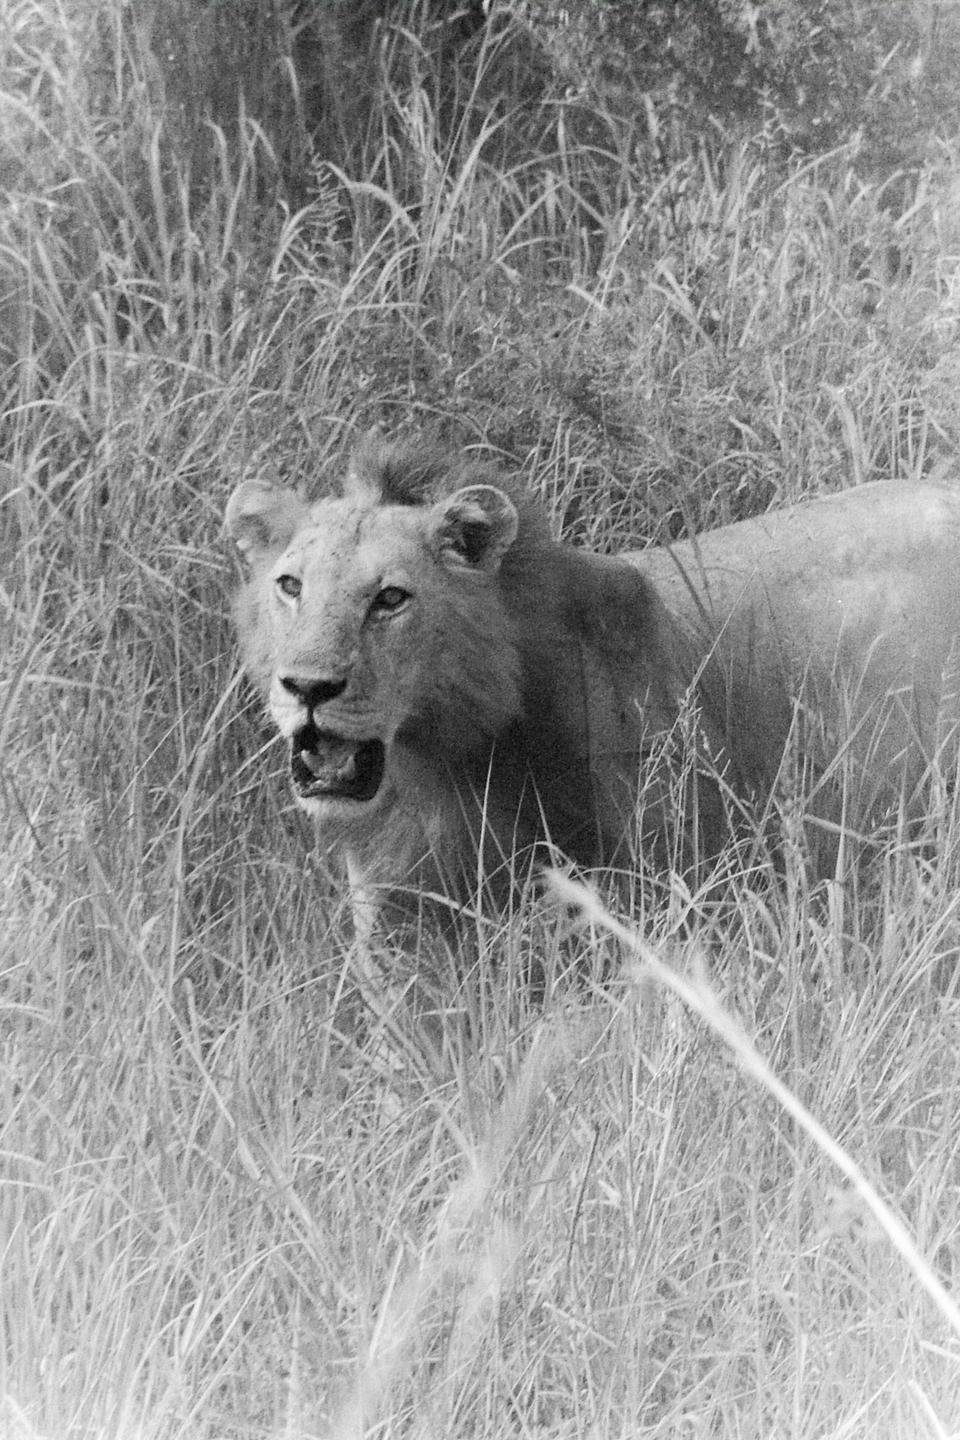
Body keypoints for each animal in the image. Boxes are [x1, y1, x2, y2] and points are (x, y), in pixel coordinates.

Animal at [225, 434, 960, 939]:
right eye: (290, 585)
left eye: (390, 599)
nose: (308, 687)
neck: (437, 763)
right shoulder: (394, 911)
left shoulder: (666, 879)